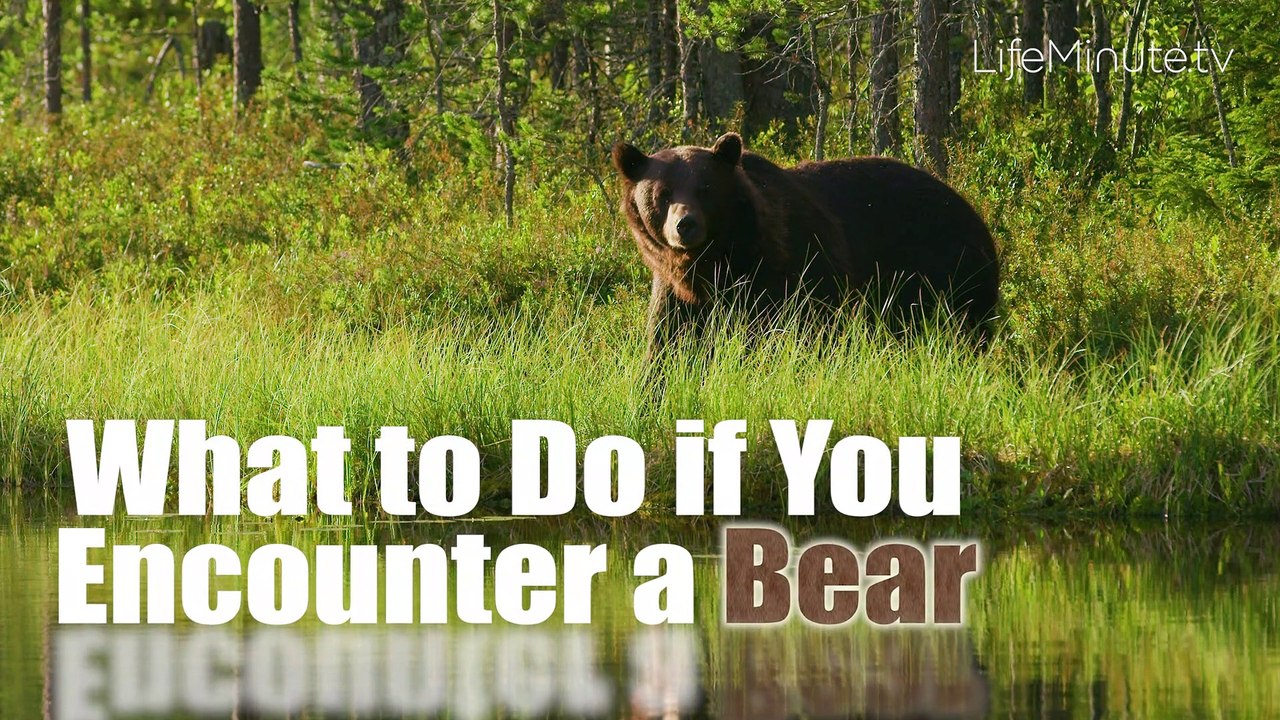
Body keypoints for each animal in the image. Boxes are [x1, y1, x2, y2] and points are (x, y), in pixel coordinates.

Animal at [611, 132, 1001, 357]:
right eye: (662, 193)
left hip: (947, 270)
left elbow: (806, 333)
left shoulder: (796, 273)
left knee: (963, 330)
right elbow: (668, 347)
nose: (685, 225)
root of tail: (971, 209)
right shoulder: (678, 294)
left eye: (706, 188)